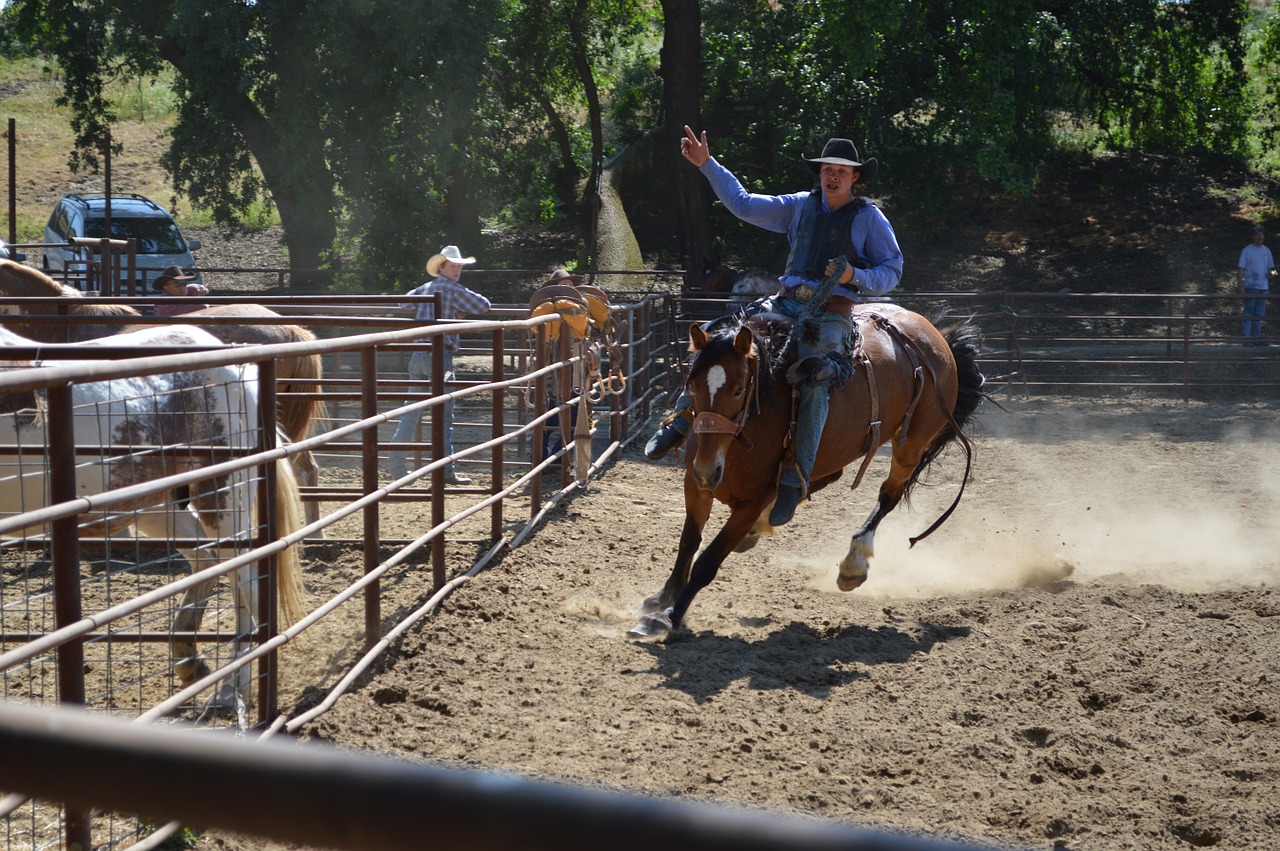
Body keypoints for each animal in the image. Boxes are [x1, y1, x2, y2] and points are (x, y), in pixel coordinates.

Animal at [0, 319, 307, 701]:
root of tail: (238, 372)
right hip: (157, 508)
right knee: (211, 566)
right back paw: (194, 664)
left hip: (221, 498)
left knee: (245, 581)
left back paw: (229, 691)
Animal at [634, 305, 983, 637]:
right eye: (692, 384)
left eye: (738, 389)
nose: (708, 469)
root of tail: (936, 335)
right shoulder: (694, 484)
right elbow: (688, 543)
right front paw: (662, 598)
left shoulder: (751, 502)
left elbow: (708, 561)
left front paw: (666, 619)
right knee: (825, 477)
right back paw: (771, 519)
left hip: (913, 441)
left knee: (889, 495)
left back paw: (853, 563)